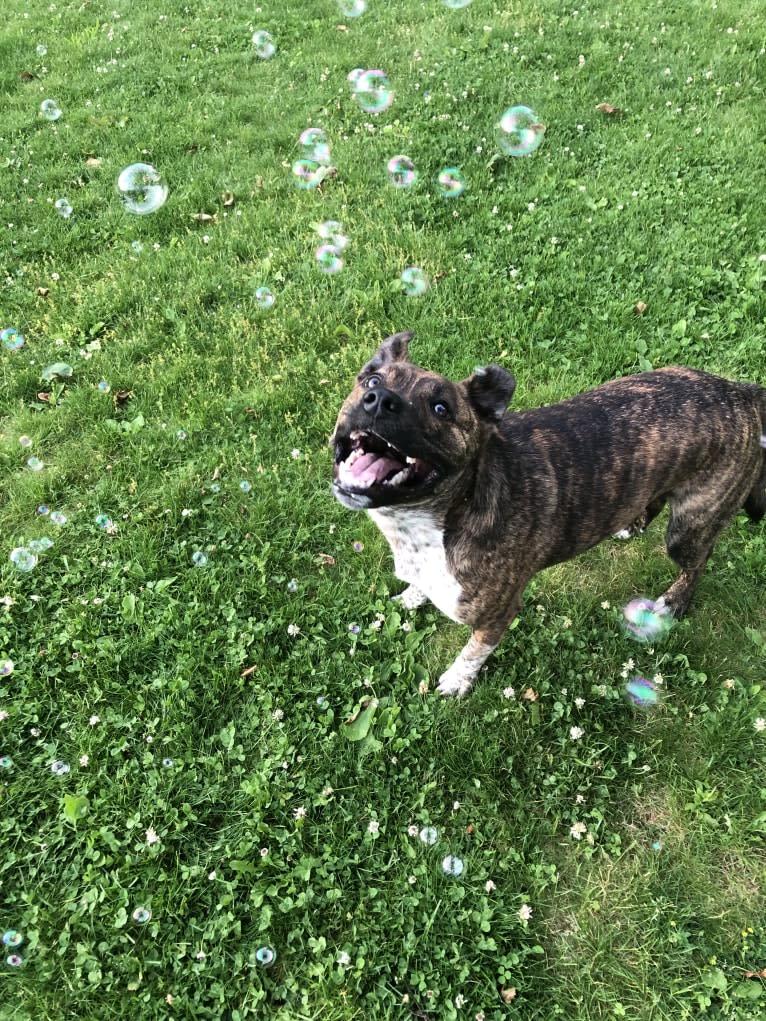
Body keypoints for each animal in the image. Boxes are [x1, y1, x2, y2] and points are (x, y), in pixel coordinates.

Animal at [330, 330, 766, 698]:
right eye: (371, 381)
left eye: (441, 408)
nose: (379, 400)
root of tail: (739, 391)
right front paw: (413, 595)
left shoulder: (497, 616)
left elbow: (474, 651)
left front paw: (457, 680)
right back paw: (631, 525)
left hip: (689, 528)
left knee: (697, 561)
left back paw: (674, 602)